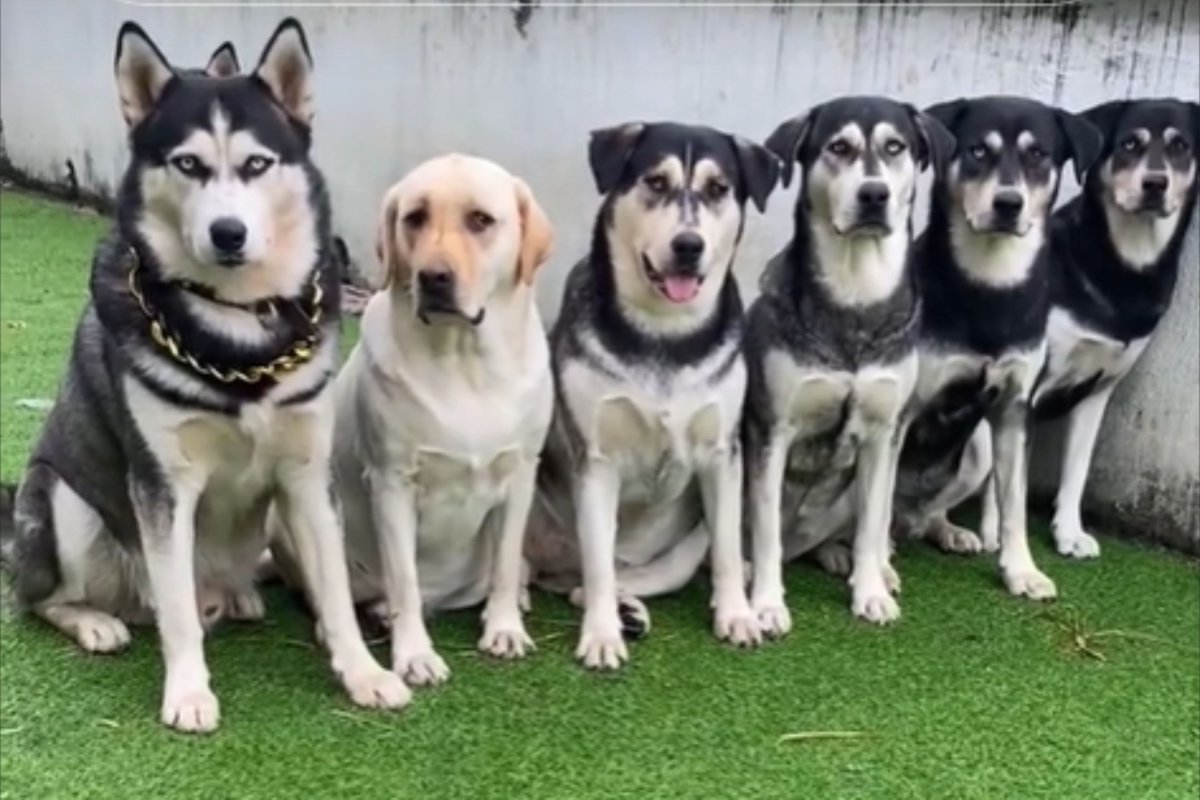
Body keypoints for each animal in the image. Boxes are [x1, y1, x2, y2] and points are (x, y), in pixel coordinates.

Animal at [0, 18, 408, 734]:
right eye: (188, 164)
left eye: (256, 164)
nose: (228, 232)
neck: (237, 325)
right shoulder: (164, 485)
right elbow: (178, 611)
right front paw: (188, 693)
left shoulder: (307, 475)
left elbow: (333, 588)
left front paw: (363, 672)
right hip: (61, 500)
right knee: (43, 599)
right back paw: (95, 622)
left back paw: (243, 597)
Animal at [525, 122, 777, 666]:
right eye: (656, 182)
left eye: (718, 188)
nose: (688, 244)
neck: (665, 333)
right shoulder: (596, 460)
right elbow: (598, 565)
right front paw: (601, 637)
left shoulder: (723, 454)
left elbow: (727, 549)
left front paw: (737, 615)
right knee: (572, 577)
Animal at [744, 95, 950, 633]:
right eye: (838, 147)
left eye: (895, 147)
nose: (874, 194)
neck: (857, 293)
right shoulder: (773, 430)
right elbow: (765, 533)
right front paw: (766, 604)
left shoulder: (883, 432)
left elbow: (873, 524)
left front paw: (871, 592)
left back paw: (849, 558)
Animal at [897, 95, 1099, 599]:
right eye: (977, 151)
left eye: (1038, 154)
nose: (1008, 203)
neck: (990, 285)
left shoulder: (1013, 409)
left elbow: (1014, 505)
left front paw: (1021, 571)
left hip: (978, 452)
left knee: (925, 512)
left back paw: (946, 530)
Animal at [1032, 97, 1200, 556]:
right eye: (1129, 143)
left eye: (1180, 146)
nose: (1156, 184)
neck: (1125, 267)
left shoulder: (1098, 389)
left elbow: (1077, 470)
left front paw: (1068, 533)